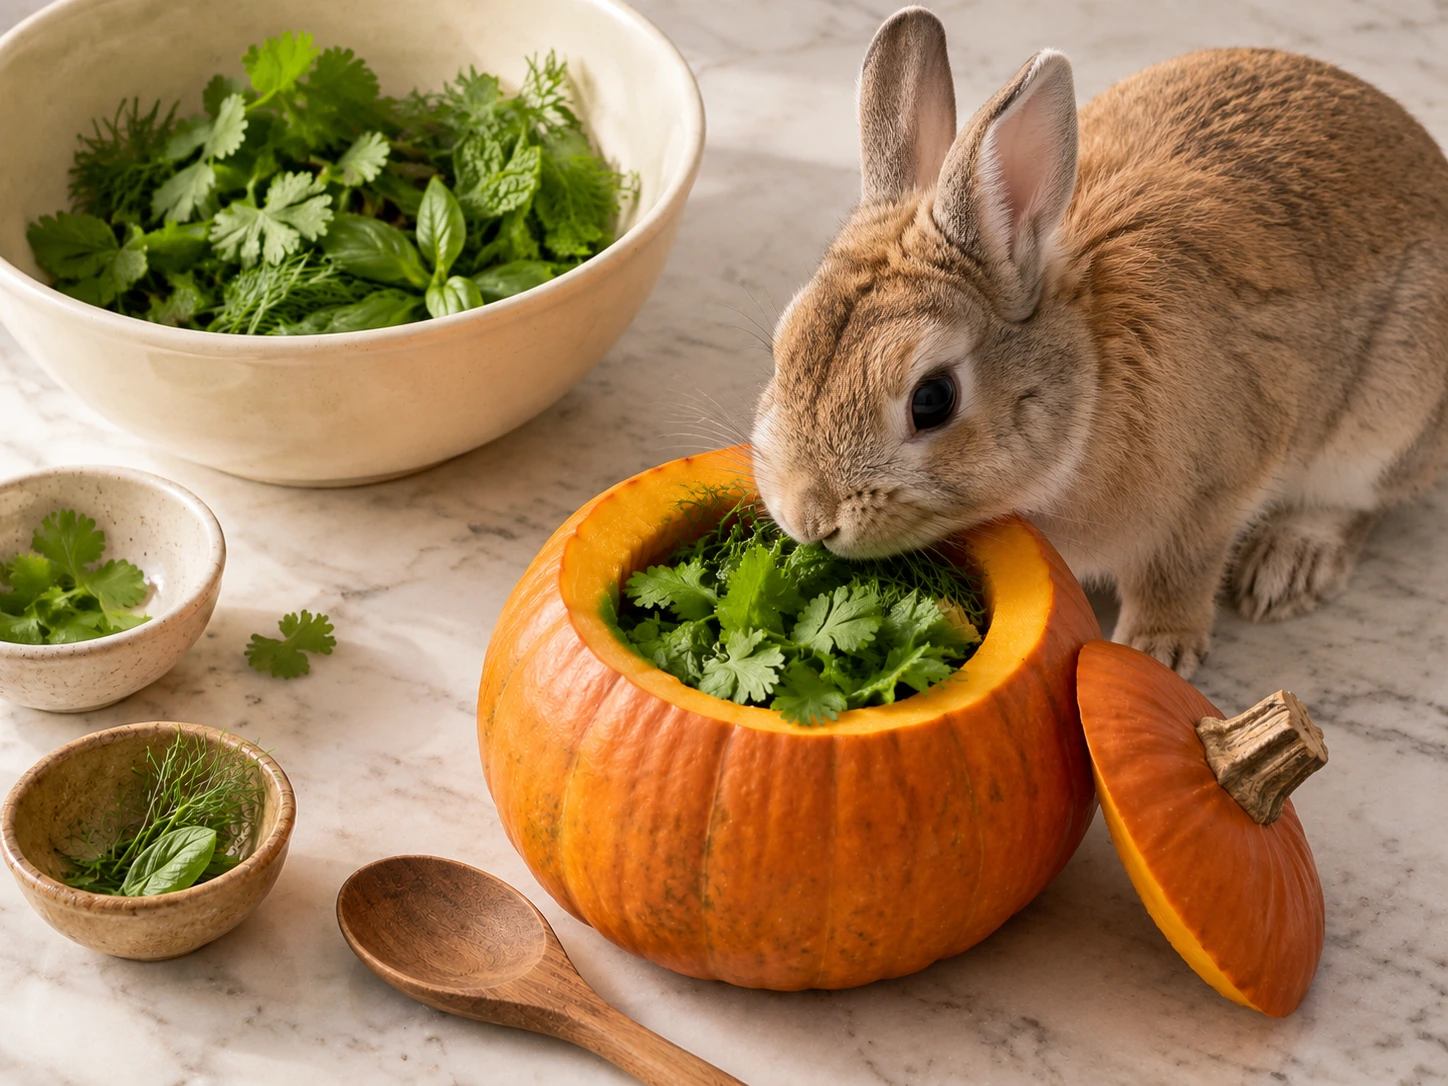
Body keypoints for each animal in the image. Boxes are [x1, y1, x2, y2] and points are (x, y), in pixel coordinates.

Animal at [749, 6, 1448, 677]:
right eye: (783, 351)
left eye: (933, 400)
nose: (810, 518)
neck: (1090, 391)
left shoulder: (1212, 493)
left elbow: (1179, 574)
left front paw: (1155, 651)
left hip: (1385, 420)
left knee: (1356, 501)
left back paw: (1288, 567)